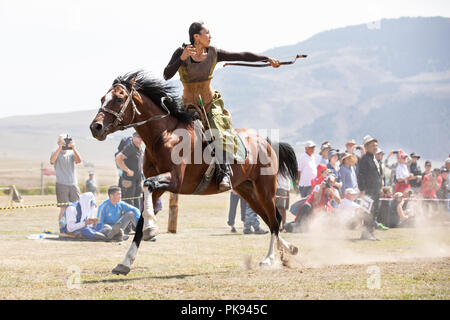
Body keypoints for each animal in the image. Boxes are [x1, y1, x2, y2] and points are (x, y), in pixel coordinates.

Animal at [89, 70, 298, 276]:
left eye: (119, 99)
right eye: (102, 99)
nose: (95, 127)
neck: (163, 135)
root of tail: (267, 142)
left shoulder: (174, 180)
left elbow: (147, 186)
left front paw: (151, 230)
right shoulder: (159, 186)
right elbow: (140, 219)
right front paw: (126, 261)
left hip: (265, 189)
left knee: (275, 220)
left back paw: (269, 259)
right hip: (246, 191)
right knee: (271, 219)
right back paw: (288, 250)